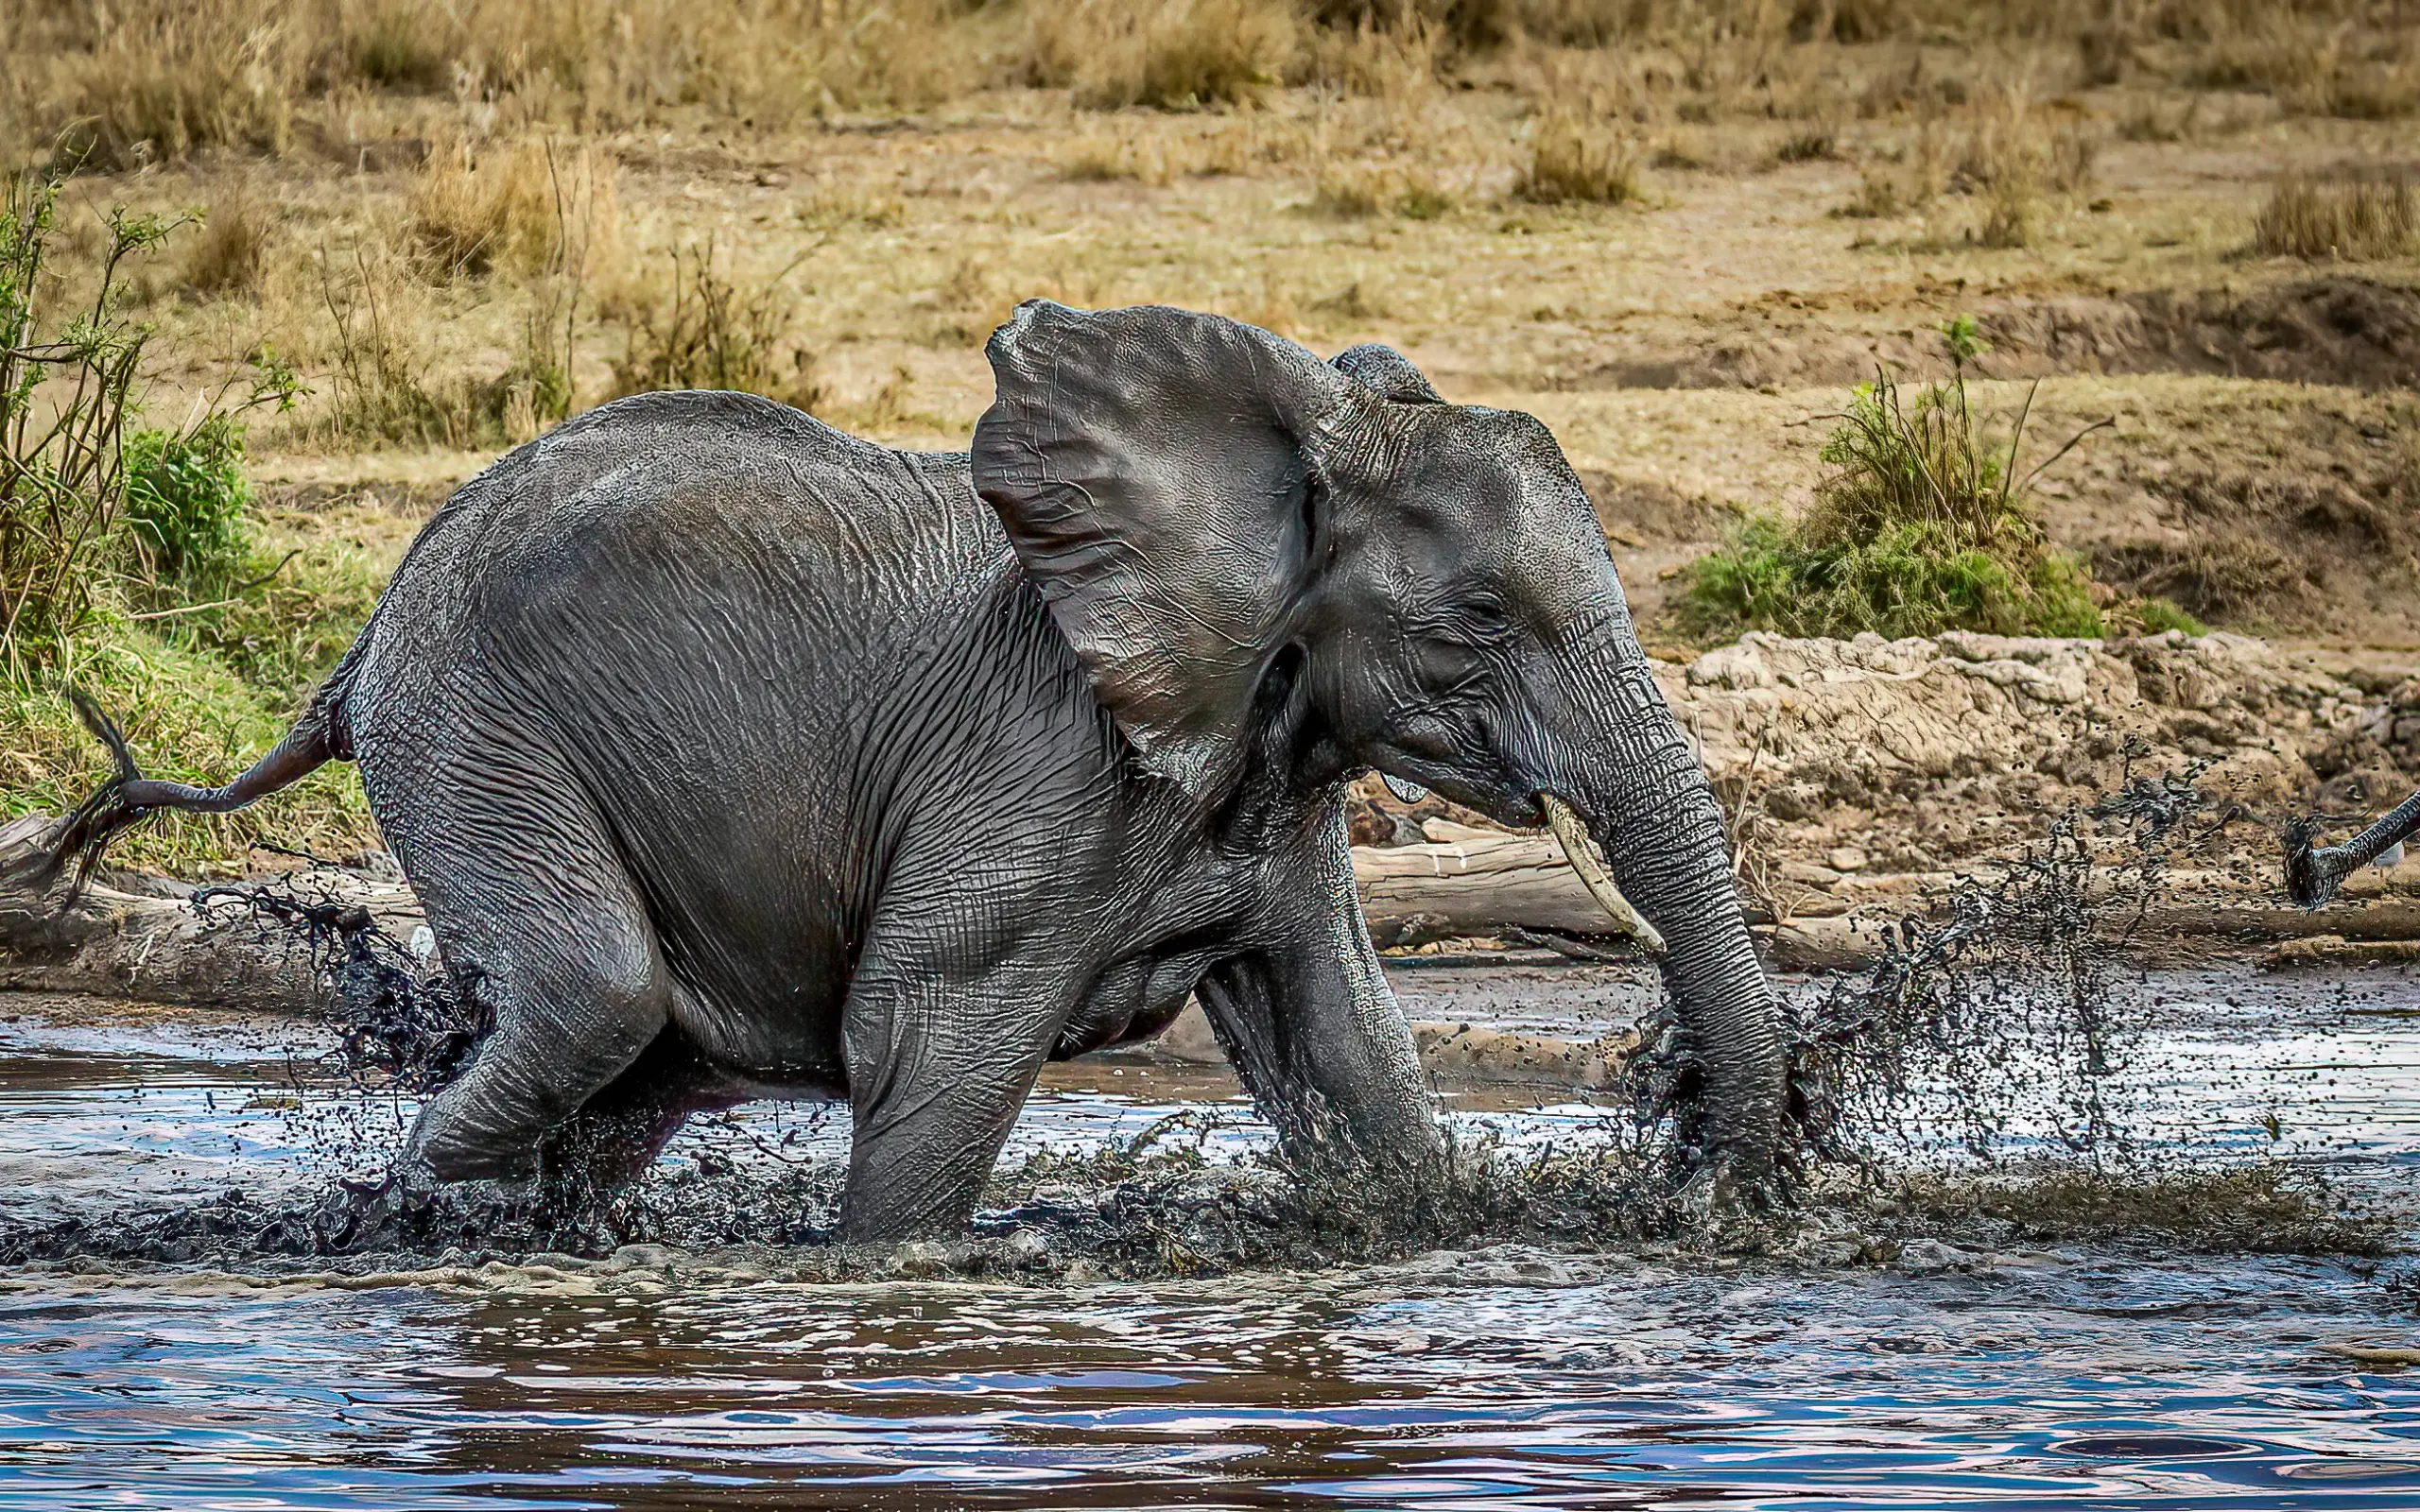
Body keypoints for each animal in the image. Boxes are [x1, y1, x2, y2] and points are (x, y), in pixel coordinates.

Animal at [25, 302, 1787, 1241]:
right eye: (1481, 619)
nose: (1691, 1163)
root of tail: (364, 636)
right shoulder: (1042, 768)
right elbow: (926, 1053)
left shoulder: (1261, 760)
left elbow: (1353, 1055)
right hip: (472, 735)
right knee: (593, 1000)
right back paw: (420, 1226)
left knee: (633, 1063)